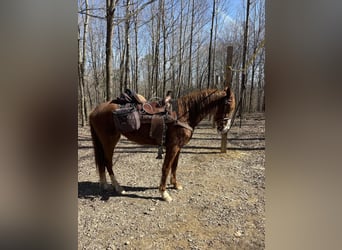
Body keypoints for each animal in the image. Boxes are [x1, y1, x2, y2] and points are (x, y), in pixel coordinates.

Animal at [89, 87, 235, 202]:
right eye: (228, 104)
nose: (225, 128)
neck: (183, 113)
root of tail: (94, 111)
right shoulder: (173, 147)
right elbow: (166, 167)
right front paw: (164, 193)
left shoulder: (178, 147)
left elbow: (174, 166)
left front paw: (175, 184)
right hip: (109, 141)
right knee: (108, 162)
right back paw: (118, 187)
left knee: (102, 162)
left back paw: (104, 184)